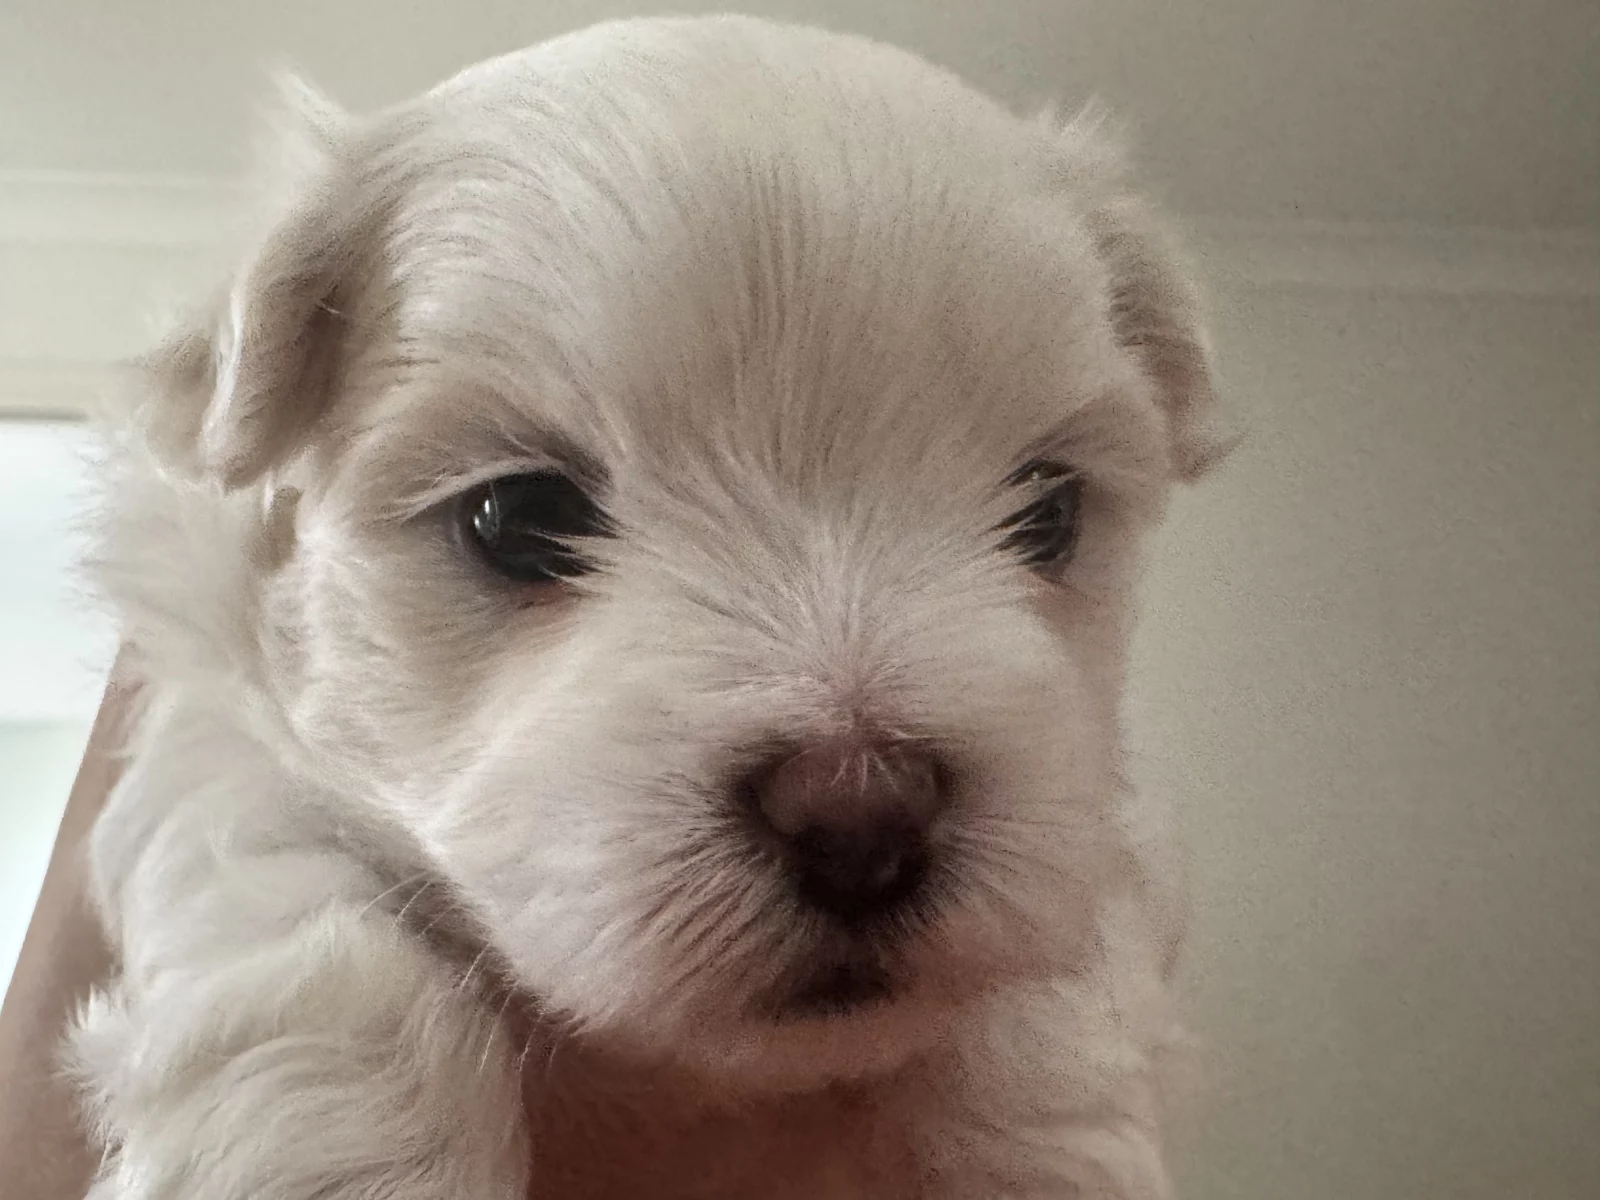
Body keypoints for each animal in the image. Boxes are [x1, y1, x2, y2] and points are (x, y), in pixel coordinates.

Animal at [69, 14, 1224, 1199]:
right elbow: (298, 906)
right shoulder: (216, 721)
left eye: (1048, 514)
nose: (862, 814)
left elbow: (1054, 993)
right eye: (519, 517)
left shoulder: (1096, 822)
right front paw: (344, 1158)